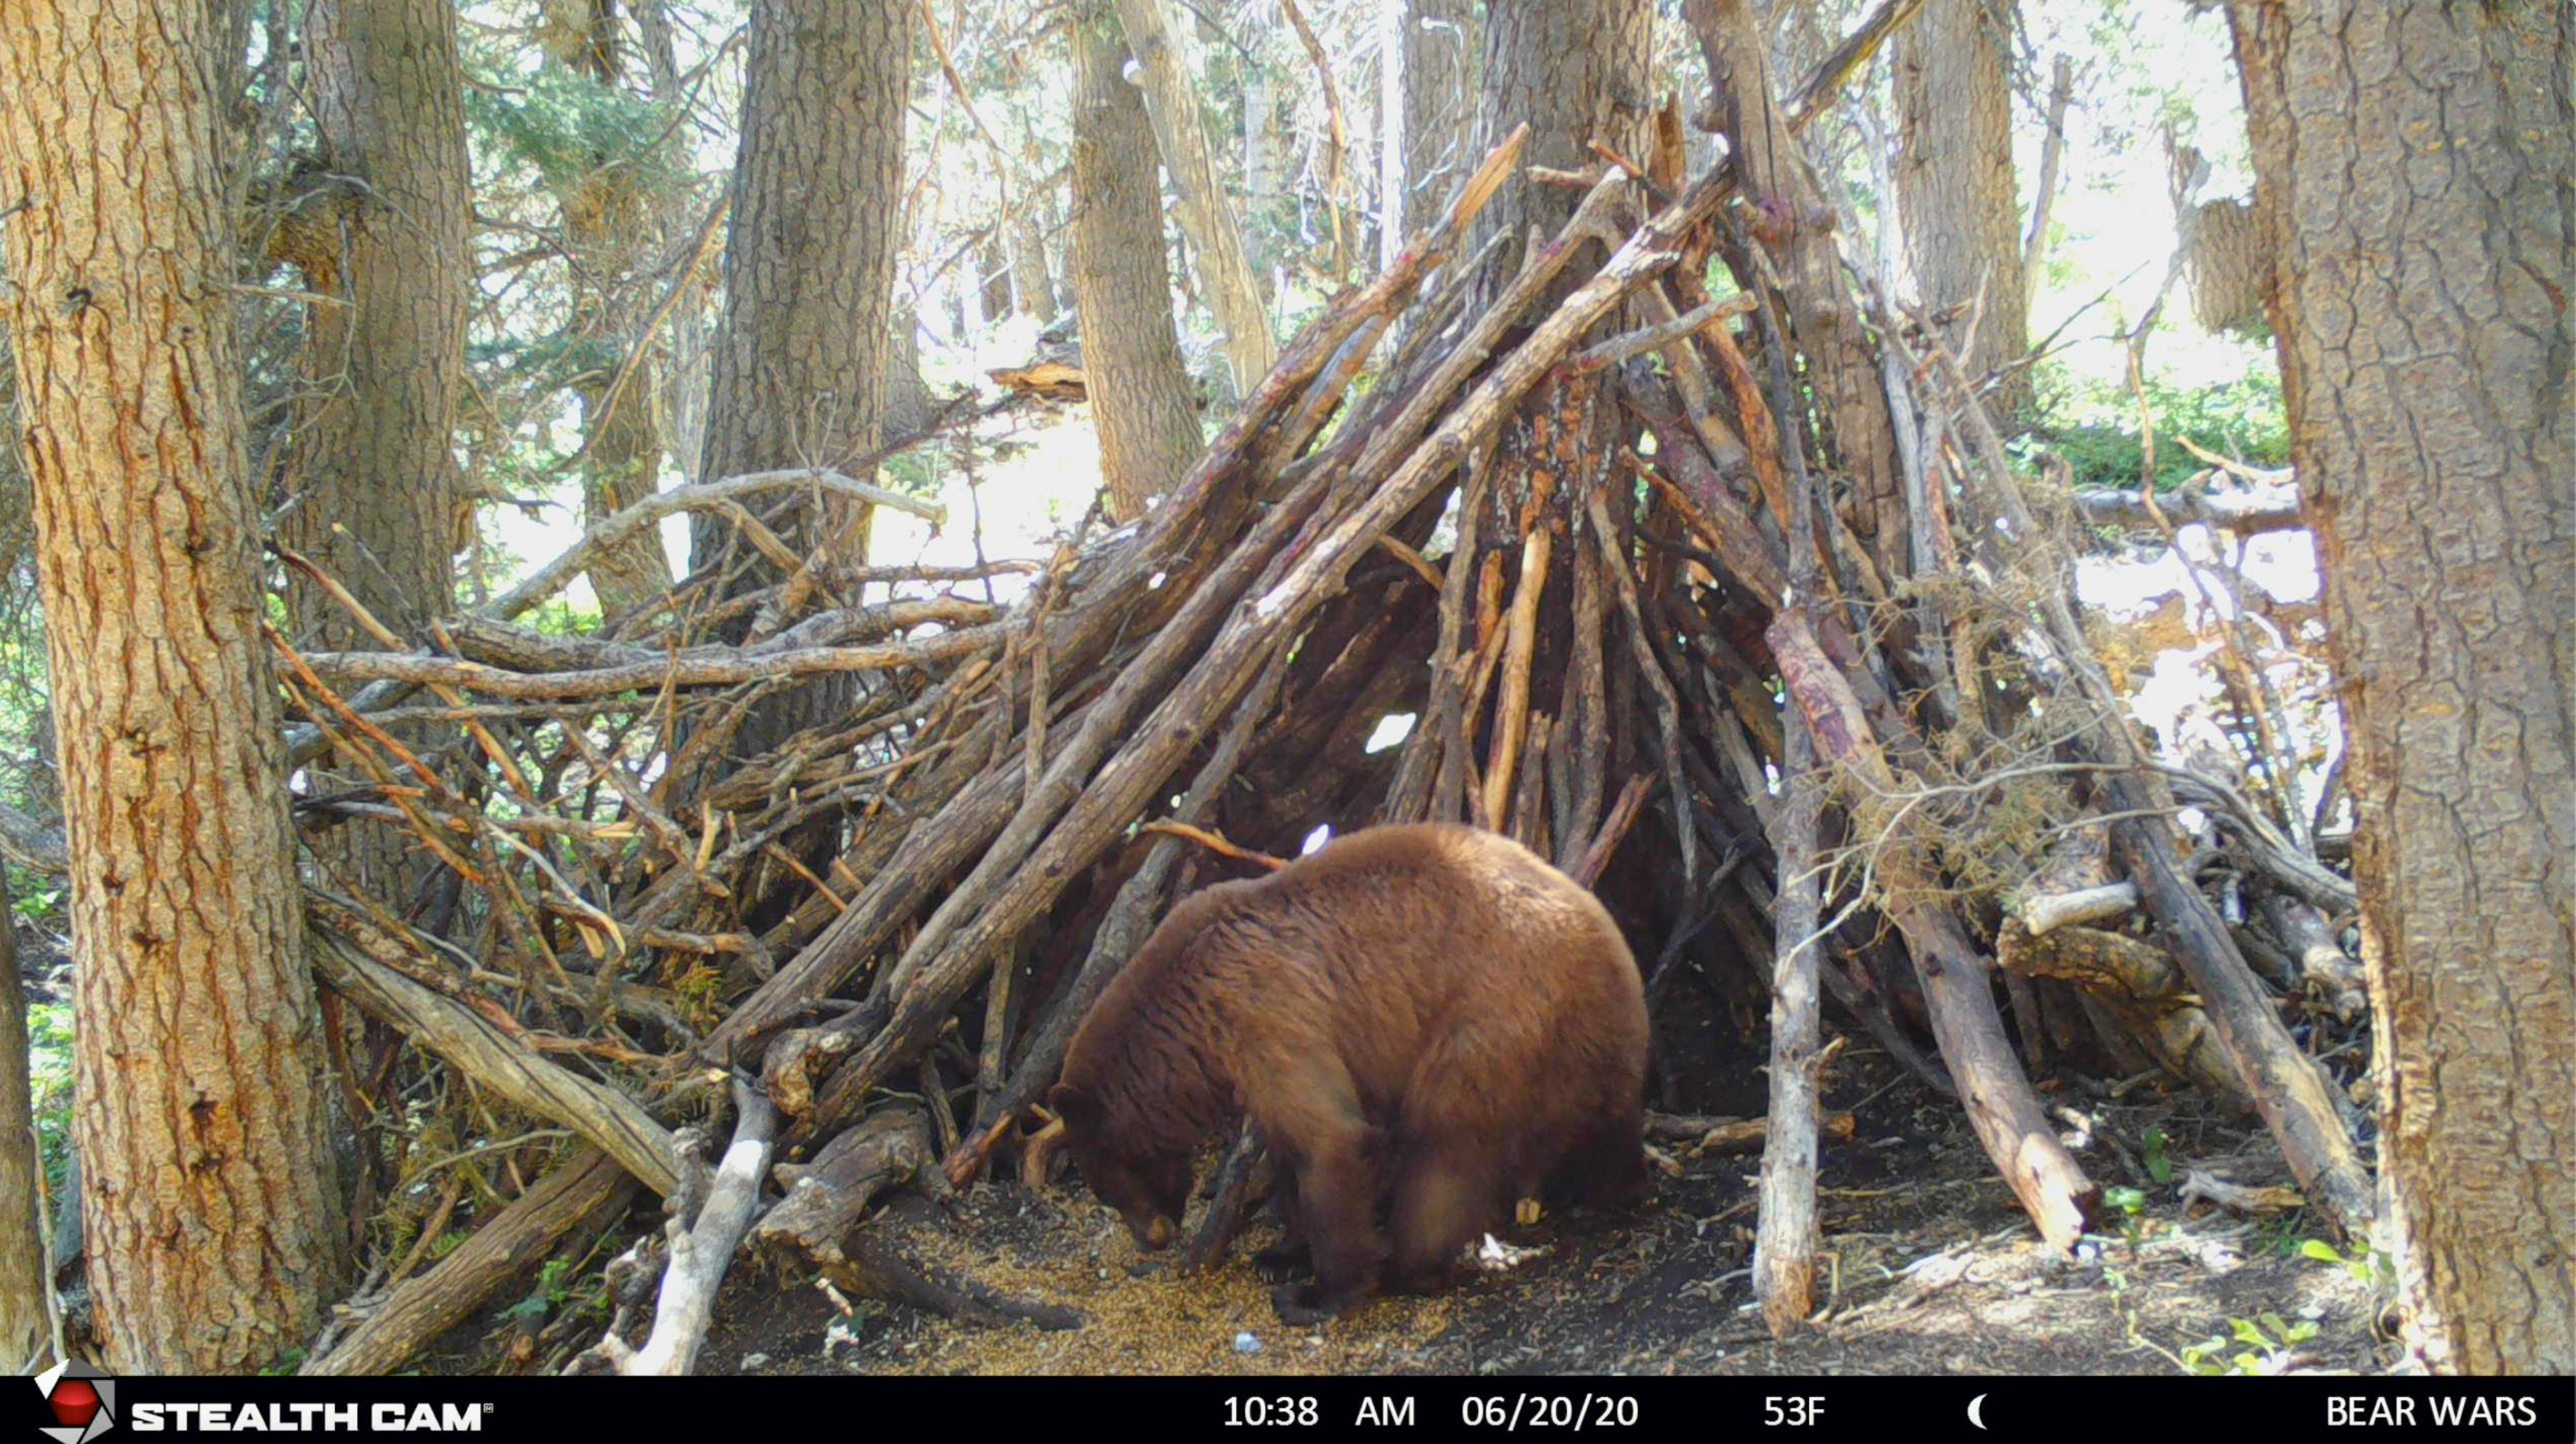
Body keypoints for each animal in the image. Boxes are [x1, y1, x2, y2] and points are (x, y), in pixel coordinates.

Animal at [1050, 818, 1638, 1328]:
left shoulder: (1262, 1011)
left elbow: (1331, 1139)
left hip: (1497, 1022)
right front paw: (1281, 1253)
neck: (1187, 1021)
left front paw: (1318, 1292)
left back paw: (1411, 1265)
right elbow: (1291, 1146)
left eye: (1107, 1186)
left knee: (1445, 1149)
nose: (1152, 1238)